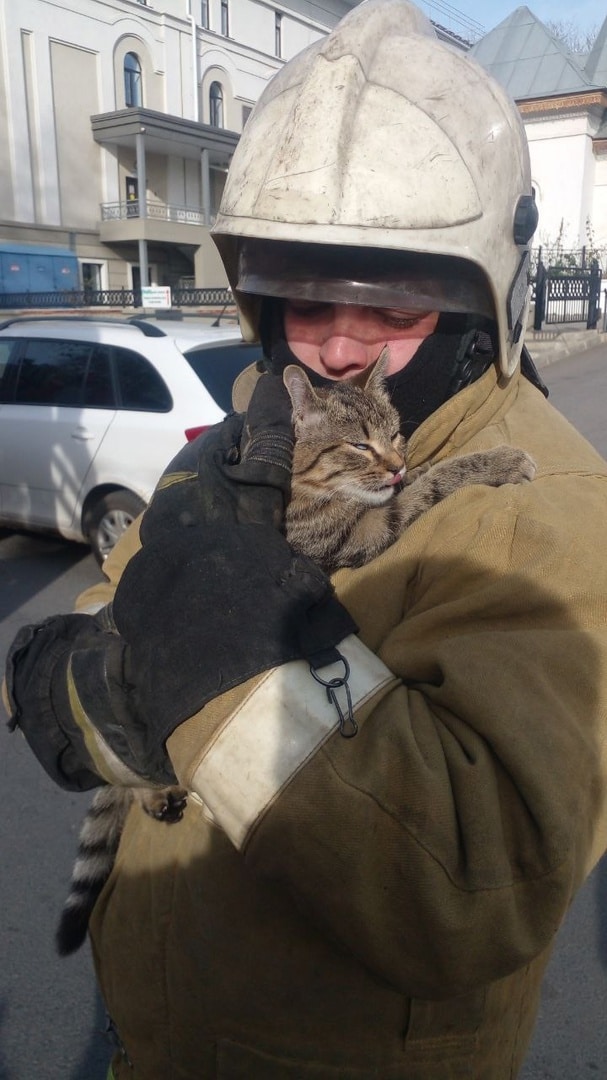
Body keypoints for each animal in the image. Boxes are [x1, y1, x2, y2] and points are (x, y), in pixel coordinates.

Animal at [54, 347, 531, 954]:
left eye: (396, 434)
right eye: (358, 446)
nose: (396, 464)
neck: (308, 490)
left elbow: (421, 481)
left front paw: (465, 462)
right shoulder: (361, 531)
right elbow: (425, 487)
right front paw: (497, 460)